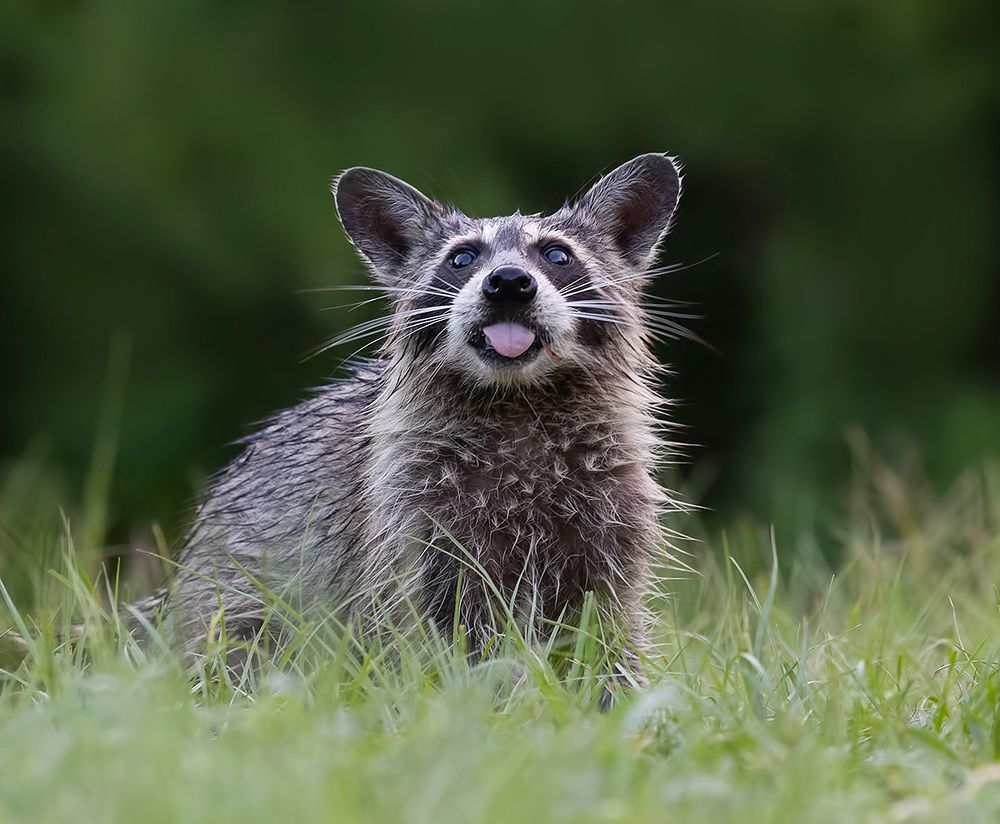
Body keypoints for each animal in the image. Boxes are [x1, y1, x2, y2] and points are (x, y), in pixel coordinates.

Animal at [160, 153, 685, 682]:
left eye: (557, 255)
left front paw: (614, 686)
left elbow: (605, 624)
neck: (518, 398)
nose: (508, 282)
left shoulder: (610, 505)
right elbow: (449, 626)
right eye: (462, 258)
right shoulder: (413, 510)